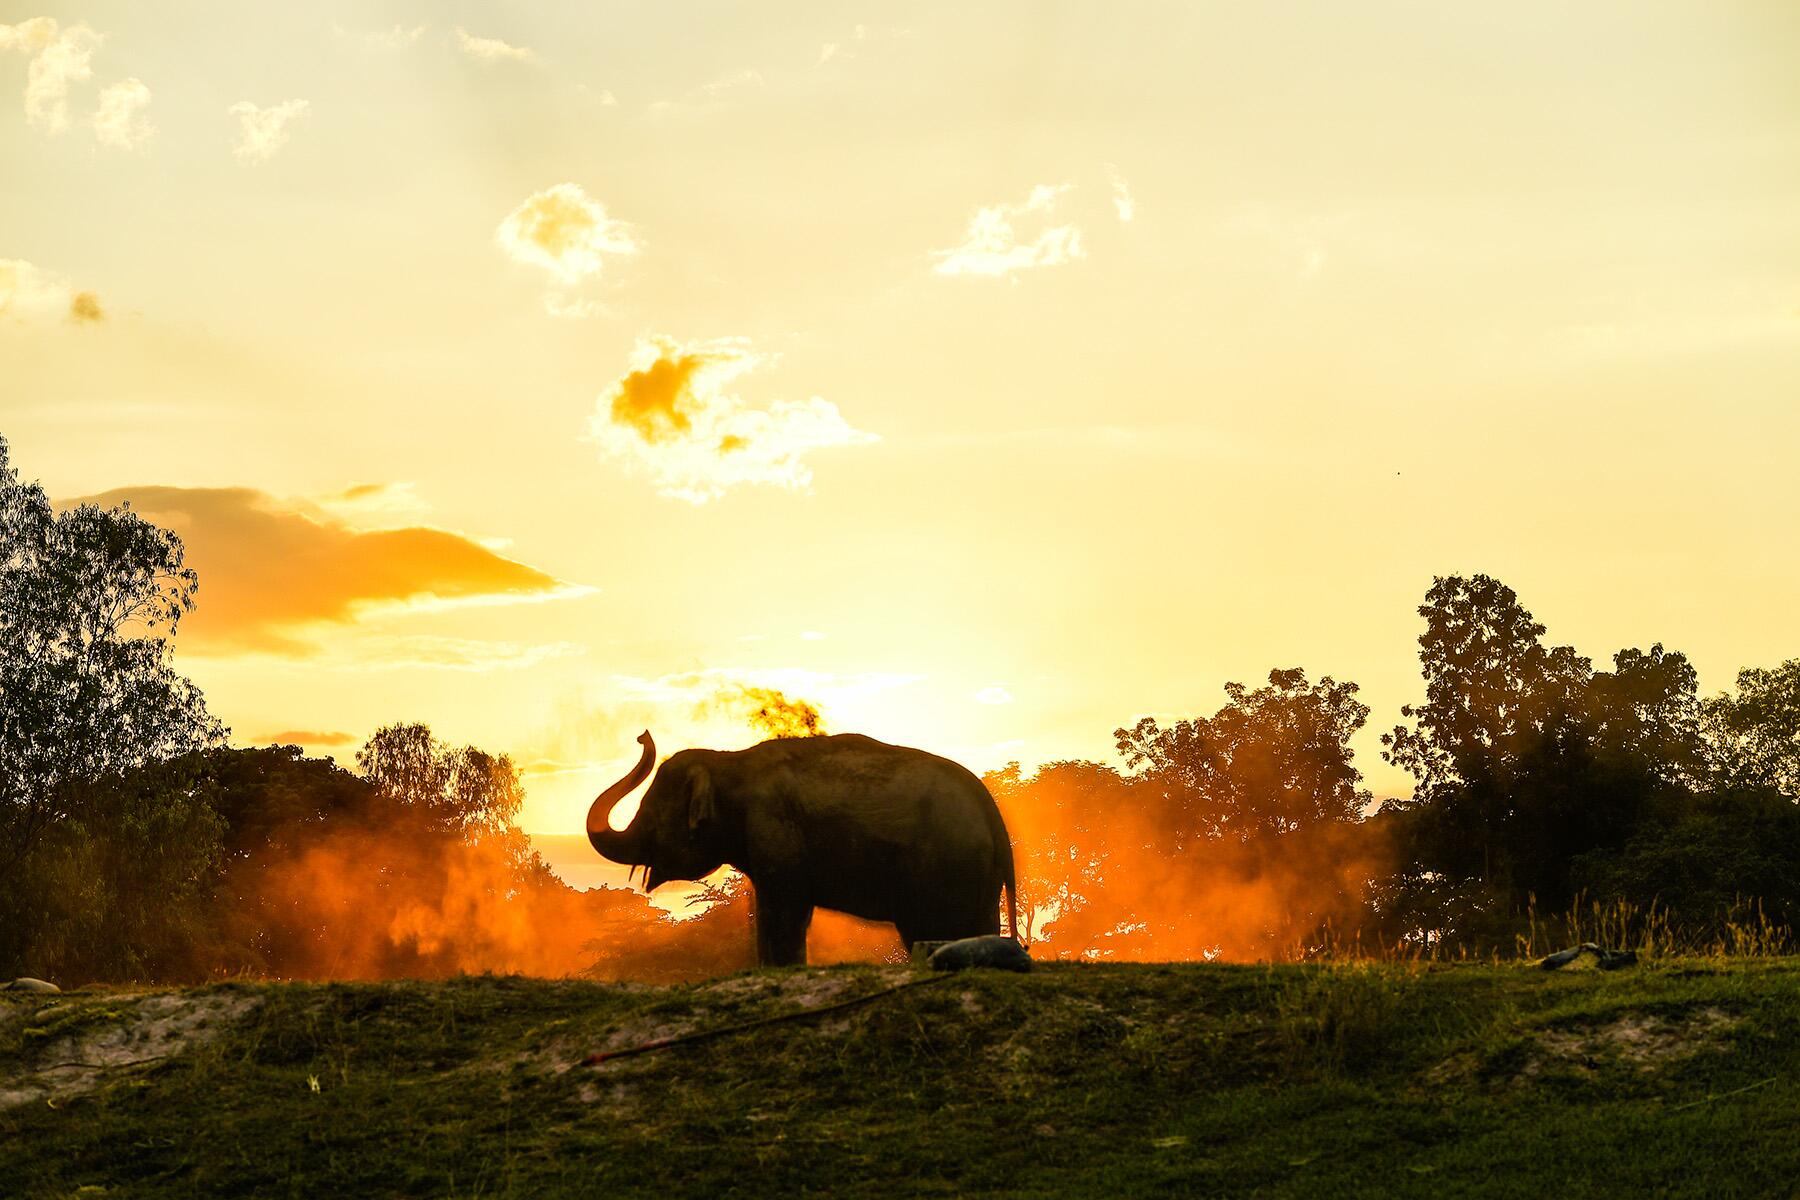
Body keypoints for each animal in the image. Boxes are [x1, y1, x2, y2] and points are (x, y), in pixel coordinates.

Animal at [586, 731, 1018, 966]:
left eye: (652, 812)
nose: (642, 735)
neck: (728, 762)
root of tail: (992, 812)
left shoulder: (773, 830)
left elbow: (783, 911)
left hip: (945, 867)